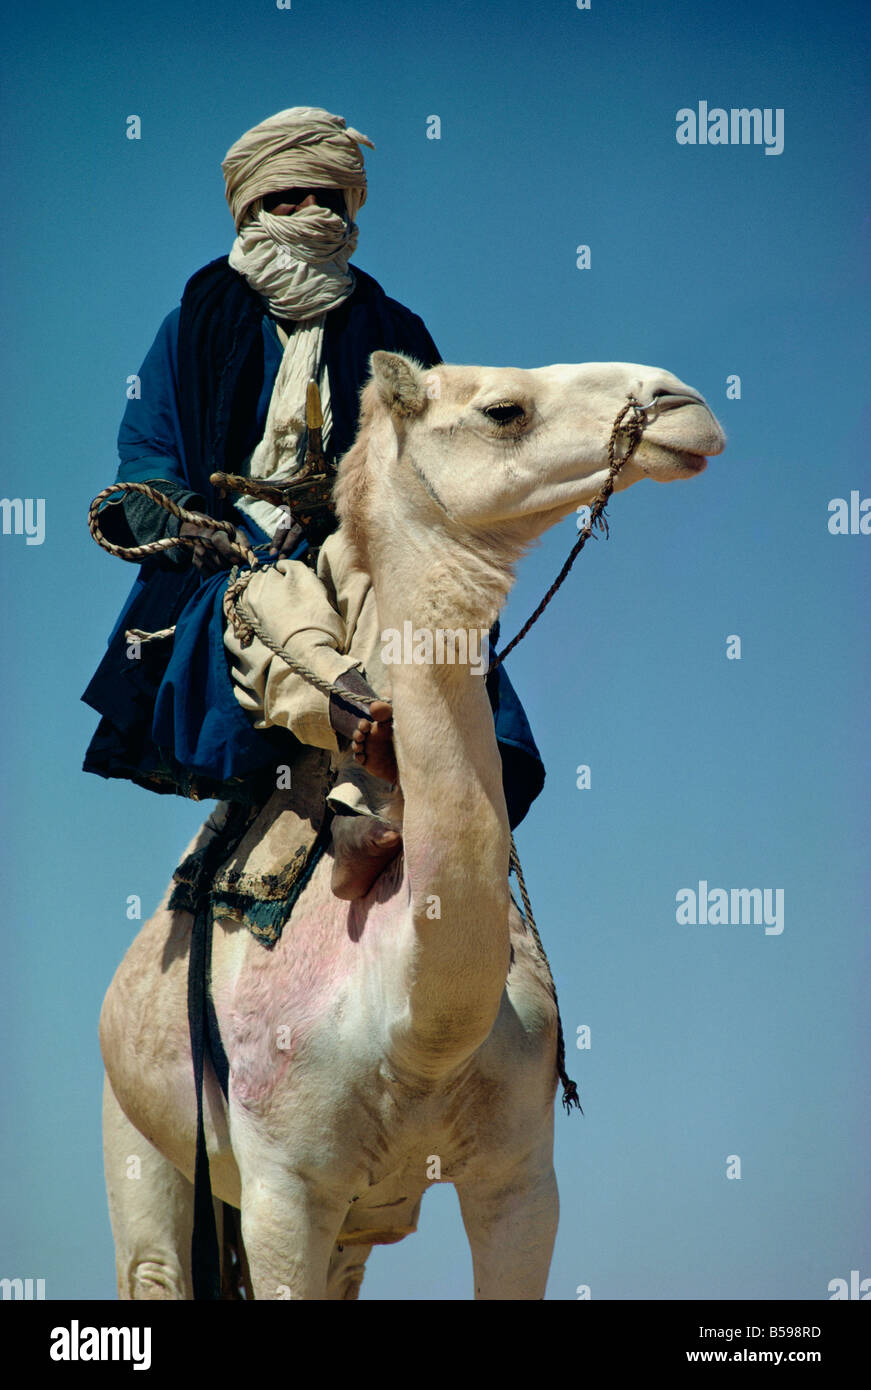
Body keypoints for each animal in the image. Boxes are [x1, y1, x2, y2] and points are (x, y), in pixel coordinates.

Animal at [99, 351, 725, 1300]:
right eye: (504, 409)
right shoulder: (284, 1191)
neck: (410, 1026)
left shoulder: (521, 1182)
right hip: (136, 1130)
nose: (679, 404)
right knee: (154, 1266)